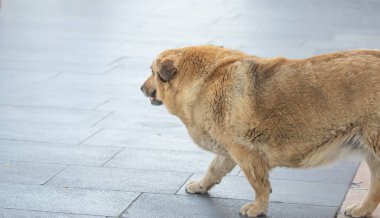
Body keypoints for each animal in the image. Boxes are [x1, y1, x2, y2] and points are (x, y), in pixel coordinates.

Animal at [140, 45, 380, 216]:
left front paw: (258, 209)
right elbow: (214, 169)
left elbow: (259, 185)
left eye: (152, 71)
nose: (141, 88)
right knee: (376, 189)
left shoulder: (245, 154)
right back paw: (361, 210)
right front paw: (201, 186)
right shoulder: (229, 151)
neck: (204, 80)